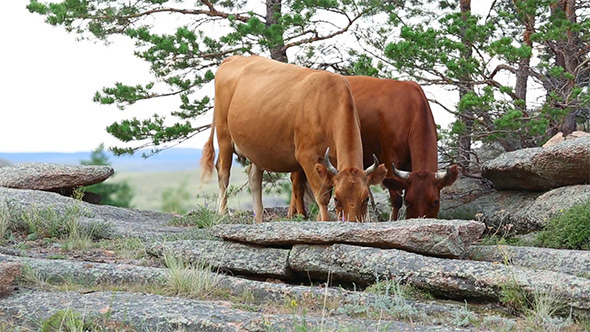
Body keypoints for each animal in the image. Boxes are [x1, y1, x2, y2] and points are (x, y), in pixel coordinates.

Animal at [201, 55, 390, 223]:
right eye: (337, 198)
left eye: (366, 198)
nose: (352, 222)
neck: (326, 104)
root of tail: (234, 58)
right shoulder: (307, 156)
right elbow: (322, 196)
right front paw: (323, 221)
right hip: (224, 133)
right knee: (223, 171)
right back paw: (223, 212)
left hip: (255, 147)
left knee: (254, 177)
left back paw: (259, 219)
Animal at [290, 76, 460, 219]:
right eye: (408, 201)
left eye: (435, 201)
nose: (420, 219)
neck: (411, 108)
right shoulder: (390, 159)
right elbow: (396, 199)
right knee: (297, 180)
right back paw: (298, 215)